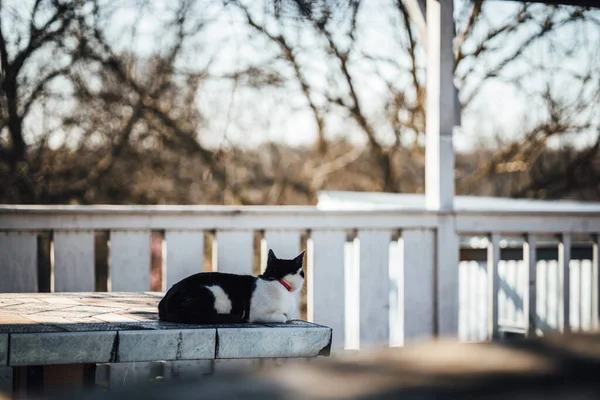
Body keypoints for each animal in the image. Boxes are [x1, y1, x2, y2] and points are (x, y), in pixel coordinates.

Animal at [157, 250, 304, 324]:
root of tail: (163, 302)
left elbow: (289, 316)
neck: (277, 281)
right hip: (212, 292)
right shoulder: (259, 314)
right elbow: (284, 317)